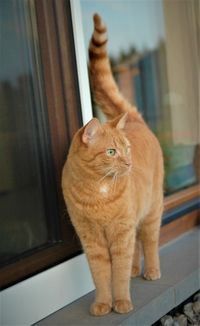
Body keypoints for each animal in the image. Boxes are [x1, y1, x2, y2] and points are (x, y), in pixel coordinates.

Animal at [61, 13, 163, 316]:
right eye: (111, 152)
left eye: (126, 150)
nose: (128, 162)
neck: (98, 190)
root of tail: (134, 120)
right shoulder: (92, 240)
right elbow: (101, 275)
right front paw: (103, 303)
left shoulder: (120, 233)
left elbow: (117, 273)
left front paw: (122, 302)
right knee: (137, 246)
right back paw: (134, 269)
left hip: (152, 211)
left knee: (149, 241)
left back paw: (150, 270)